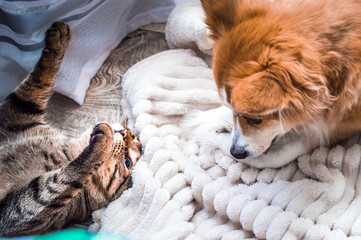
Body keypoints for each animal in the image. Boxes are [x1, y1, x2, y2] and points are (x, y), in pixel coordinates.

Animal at [0, 21, 140, 237]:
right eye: (132, 134)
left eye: (127, 161)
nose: (123, 133)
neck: (66, 148)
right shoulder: (18, 110)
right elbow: (39, 81)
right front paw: (58, 42)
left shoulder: (17, 211)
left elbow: (60, 181)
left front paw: (102, 142)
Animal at [200, 0, 361, 168]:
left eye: (255, 119)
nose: (236, 152)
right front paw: (207, 119)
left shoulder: (338, 126)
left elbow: (273, 158)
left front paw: (210, 137)